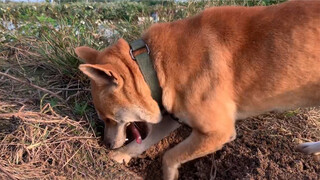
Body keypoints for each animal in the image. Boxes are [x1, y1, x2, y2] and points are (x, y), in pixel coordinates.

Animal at [75, 1, 320, 179]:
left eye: (108, 118)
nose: (105, 144)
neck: (153, 65)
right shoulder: (172, 114)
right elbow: (147, 140)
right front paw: (119, 156)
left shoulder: (217, 131)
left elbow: (169, 156)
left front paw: (169, 174)